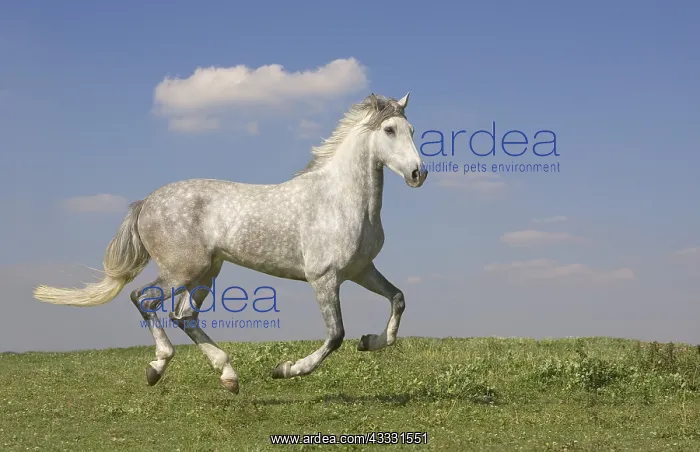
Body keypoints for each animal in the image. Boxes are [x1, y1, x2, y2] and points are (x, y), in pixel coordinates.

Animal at [33, 92, 428, 394]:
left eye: (411, 130)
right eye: (389, 130)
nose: (418, 174)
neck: (341, 199)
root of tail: (146, 202)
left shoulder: (361, 270)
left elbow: (397, 300)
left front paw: (369, 342)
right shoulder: (324, 277)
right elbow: (335, 335)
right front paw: (286, 369)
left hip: (206, 274)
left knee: (183, 316)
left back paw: (228, 376)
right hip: (182, 270)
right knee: (143, 299)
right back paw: (157, 367)